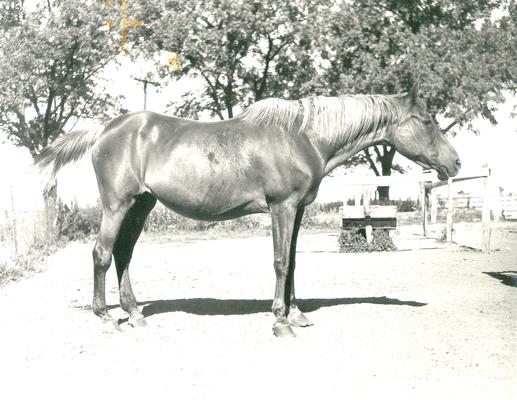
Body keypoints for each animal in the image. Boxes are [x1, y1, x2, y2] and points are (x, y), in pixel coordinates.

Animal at [38, 84, 462, 338]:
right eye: (427, 121)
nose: (455, 163)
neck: (303, 136)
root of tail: (105, 129)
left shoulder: (298, 211)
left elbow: (293, 261)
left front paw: (297, 314)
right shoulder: (281, 208)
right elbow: (280, 262)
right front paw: (280, 321)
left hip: (141, 205)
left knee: (123, 253)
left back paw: (135, 313)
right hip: (117, 205)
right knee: (102, 253)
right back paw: (108, 317)